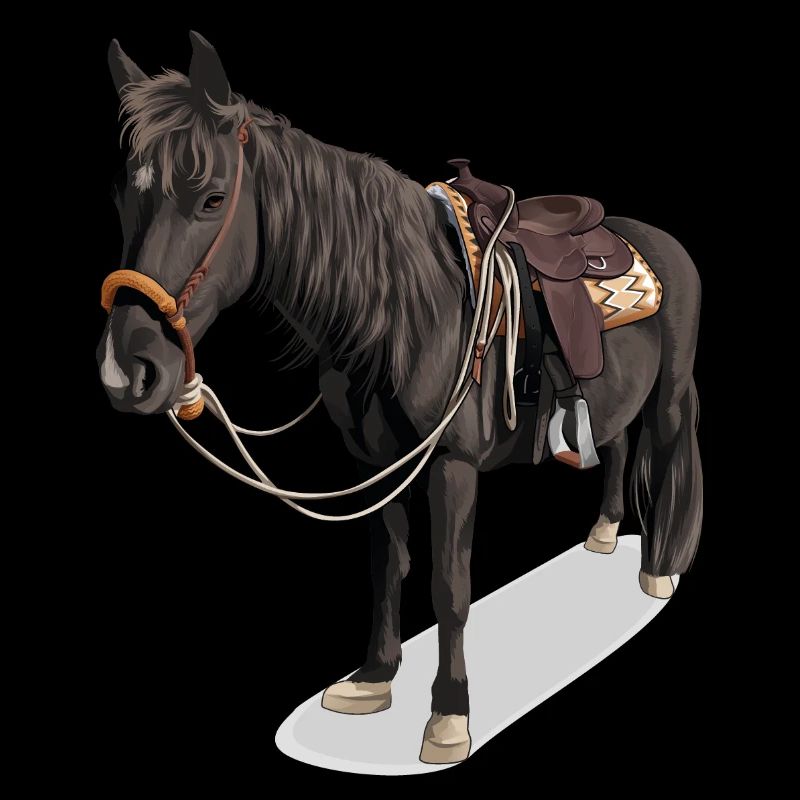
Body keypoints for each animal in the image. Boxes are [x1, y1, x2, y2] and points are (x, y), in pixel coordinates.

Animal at [97, 32, 703, 764]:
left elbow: (449, 587)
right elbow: (387, 564)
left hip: (670, 392)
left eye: (212, 199)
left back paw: (658, 570)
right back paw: (606, 531)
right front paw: (374, 678)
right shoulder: (375, 462)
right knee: (615, 445)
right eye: (123, 199)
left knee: (664, 447)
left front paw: (449, 715)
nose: (128, 371)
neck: (400, 313)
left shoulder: (452, 464)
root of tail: (662, 241)